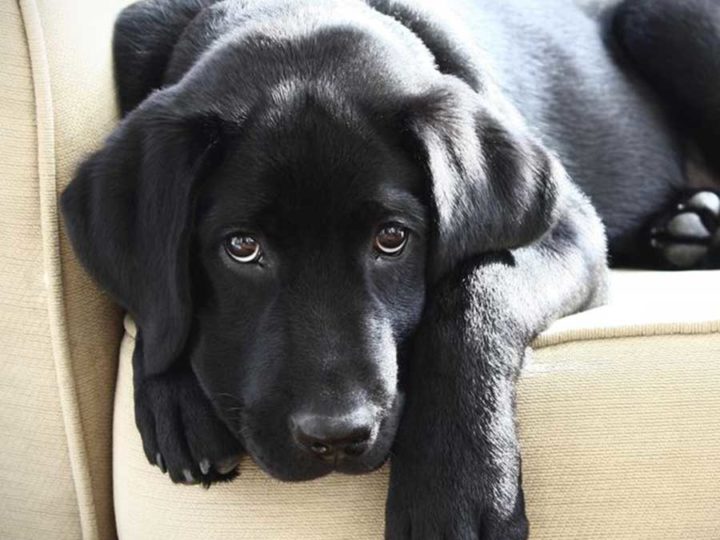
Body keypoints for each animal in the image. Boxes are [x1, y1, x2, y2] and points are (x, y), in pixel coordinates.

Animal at [62, 1, 720, 536]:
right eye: (241, 247)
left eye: (392, 238)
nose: (335, 437)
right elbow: (158, 301)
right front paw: (169, 388)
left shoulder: (570, 230)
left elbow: (477, 290)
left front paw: (453, 487)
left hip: (663, 16)